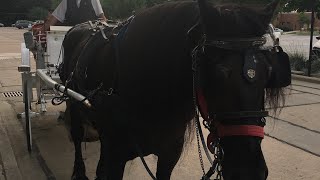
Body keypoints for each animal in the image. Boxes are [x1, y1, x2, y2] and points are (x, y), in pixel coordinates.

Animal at [59, 0, 288, 179]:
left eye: (269, 72)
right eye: (216, 72)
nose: (249, 172)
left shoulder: (169, 155)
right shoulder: (114, 157)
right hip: (72, 102)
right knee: (77, 135)